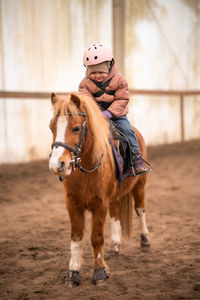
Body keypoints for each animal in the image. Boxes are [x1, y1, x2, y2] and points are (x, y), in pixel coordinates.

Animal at [49, 92, 151, 288]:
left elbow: (96, 237)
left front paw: (100, 272)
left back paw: (145, 240)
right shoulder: (72, 203)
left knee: (140, 210)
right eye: (51, 127)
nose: (57, 165)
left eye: (76, 128)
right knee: (116, 213)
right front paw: (72, 273)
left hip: (140, 185)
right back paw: (116, 244)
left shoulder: (100, 204)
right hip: (115, 196)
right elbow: (76, 237)